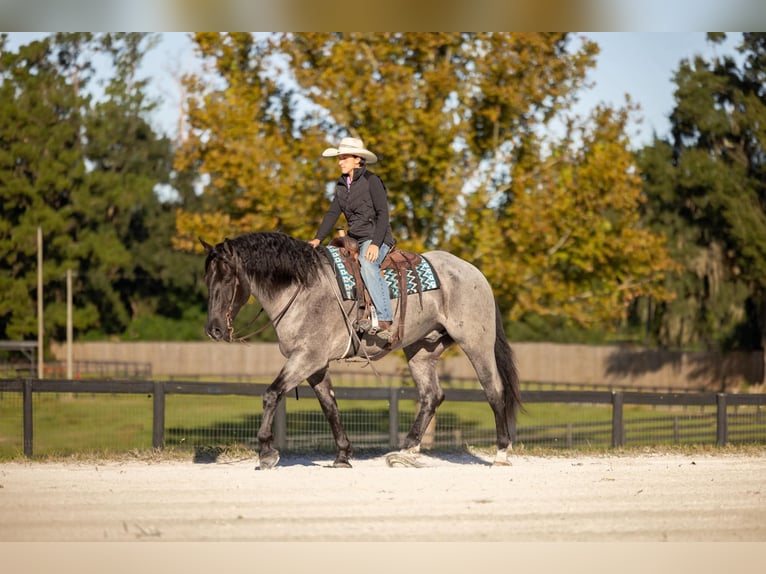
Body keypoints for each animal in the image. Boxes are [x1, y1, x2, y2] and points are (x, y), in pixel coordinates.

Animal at [200, 231, 521, 469]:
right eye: (207, 279)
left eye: (227, 278)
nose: (214, 329)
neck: (304, 289)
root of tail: (474, 273)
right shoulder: (315, 364)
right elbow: (329, 405)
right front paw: (343, 455)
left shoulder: (306, 358)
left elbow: (271, 394)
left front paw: (266, 452)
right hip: (421, 350)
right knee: (432, 396)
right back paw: (406, 451)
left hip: (476, 344)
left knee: (494, 390)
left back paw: (501, 453)